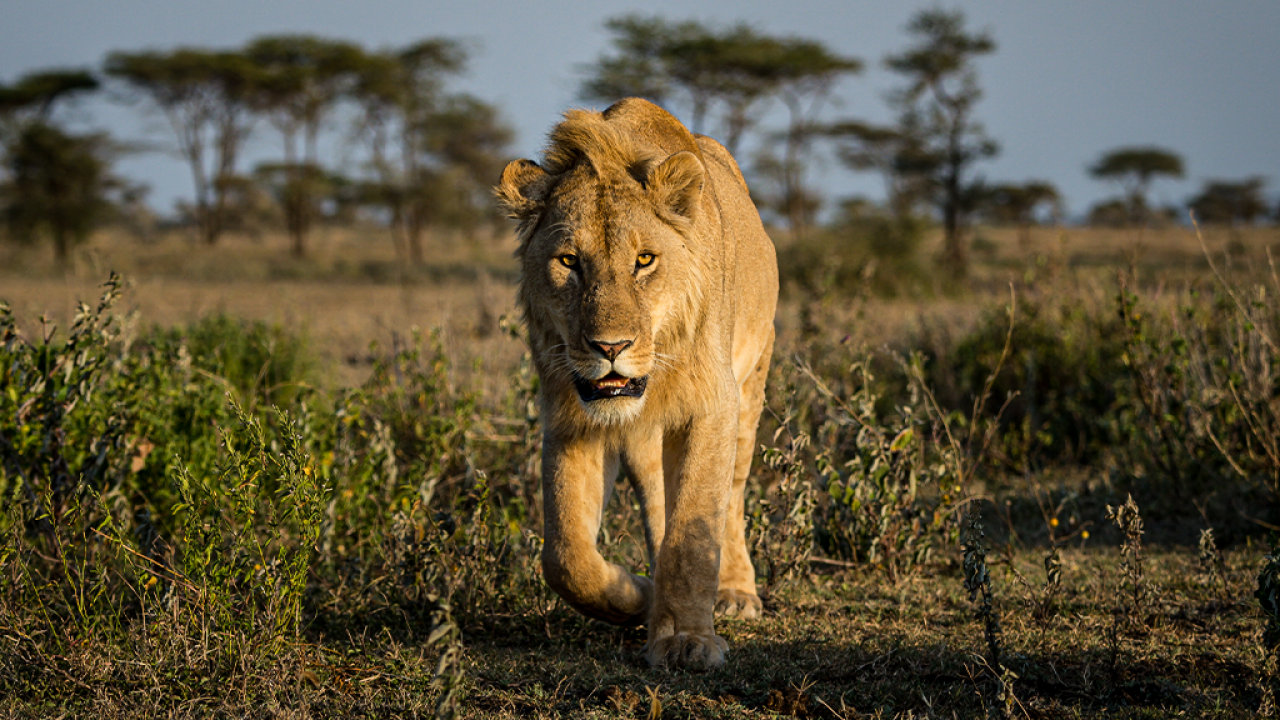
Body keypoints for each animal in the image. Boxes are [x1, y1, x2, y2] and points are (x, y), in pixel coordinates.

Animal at [495, 98, 778, 670]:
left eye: (644, 260)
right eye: (569, 261)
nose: (610, 348)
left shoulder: (712, 404)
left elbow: (694, 531)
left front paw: (689, 639)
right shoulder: (570, 417)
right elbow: (566, 557)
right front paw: (641, 597)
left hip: (751, 387)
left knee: (733, 496)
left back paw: (735, 592)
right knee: (656, 504)